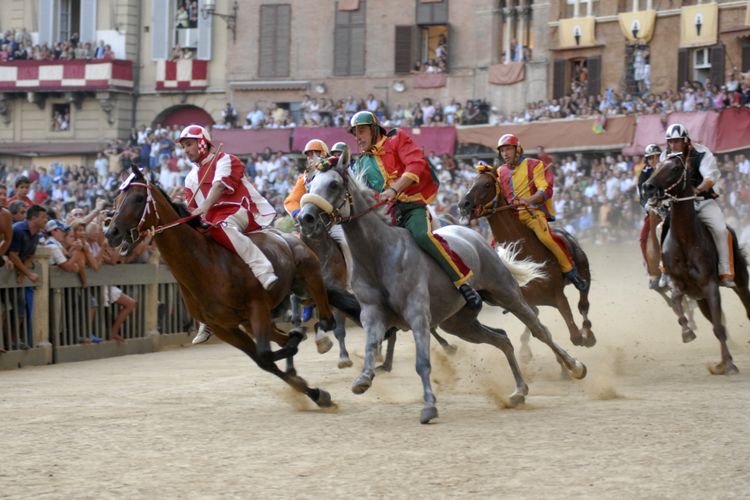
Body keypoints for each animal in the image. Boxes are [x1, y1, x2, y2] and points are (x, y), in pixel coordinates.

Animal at [107, 166, 362, 408]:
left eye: (138, 198)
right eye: (117, 199)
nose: (111, 232)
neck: (204, 264)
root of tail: (290, 237)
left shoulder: (257, 306)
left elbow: (266, 354)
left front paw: (300, 353)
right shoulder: (223, 327)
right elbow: (264, 360)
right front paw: (316, 393)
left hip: (309, 277)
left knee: (327, 320)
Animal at [458, 168, 600, 352]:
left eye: (487, 184)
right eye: (470, 182)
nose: (463, 204)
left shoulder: (557, 296)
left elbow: (575, 336)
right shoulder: (521, 299)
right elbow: (538, 325)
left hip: (583, 271)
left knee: (583, 302)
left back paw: (589, 334)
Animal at [640, 158, 750, 374]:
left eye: (675, 168)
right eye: (658, 166)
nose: (648, 187)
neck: (685, 238)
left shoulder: (710, 284)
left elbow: (718, 326)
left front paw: (729, 364)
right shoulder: (678, 283)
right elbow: (677, 302)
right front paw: (687, 332)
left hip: (739, 280)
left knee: (745, 304)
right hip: (701, 299)